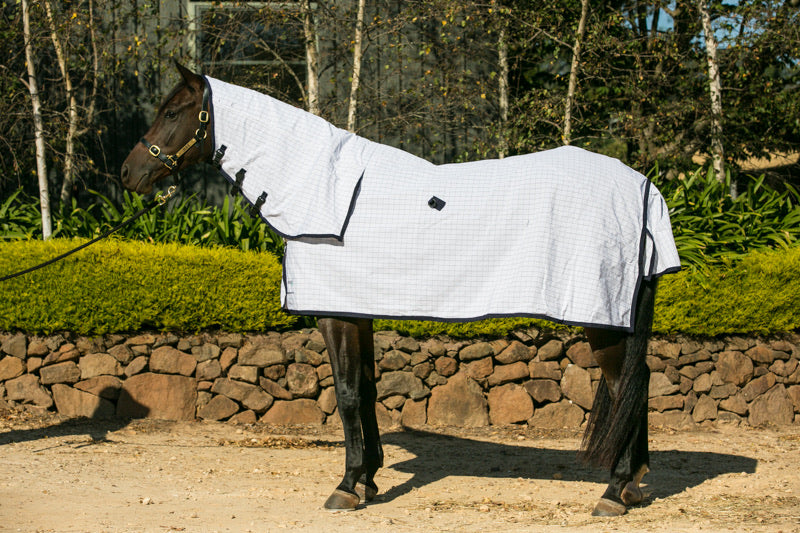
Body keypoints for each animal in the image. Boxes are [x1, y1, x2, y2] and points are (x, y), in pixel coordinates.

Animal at [121, 63, 680, 517]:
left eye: (173, 112)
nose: (129, 173)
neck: (322, 192)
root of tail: (643, 186)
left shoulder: (337, 314)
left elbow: (347, 393)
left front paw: (346, 486)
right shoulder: (358, 310)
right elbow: (367, 390)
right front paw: (367, 478)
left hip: (603, 320)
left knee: (625, 386)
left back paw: (613, 492)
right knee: (639, 384)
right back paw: (633, 485)